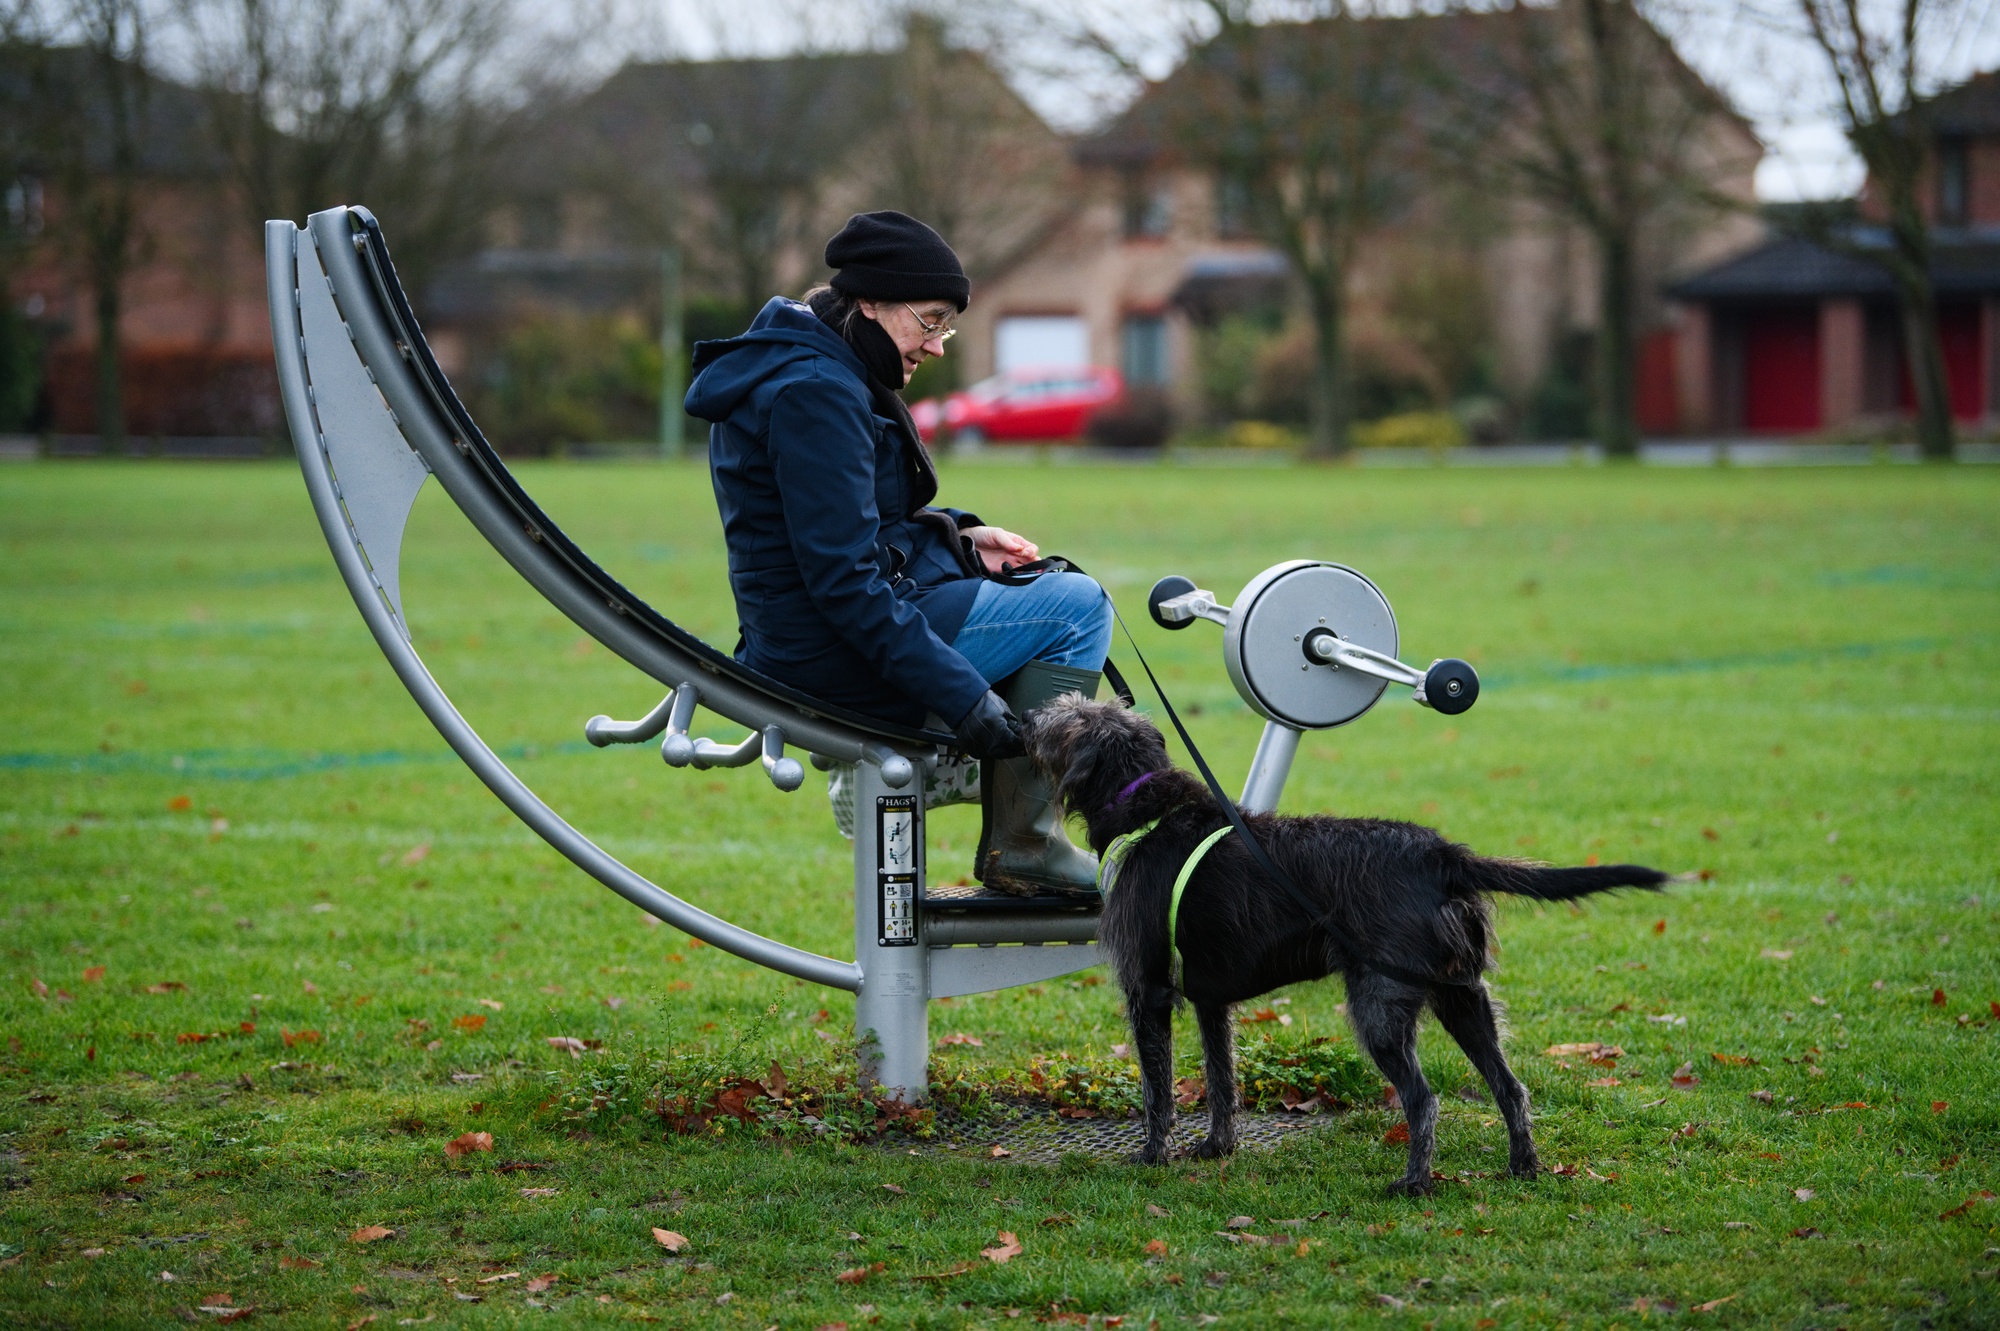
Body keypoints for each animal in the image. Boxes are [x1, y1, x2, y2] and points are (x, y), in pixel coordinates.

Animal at [1020, 694, 1670, 1194]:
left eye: (1069, 717)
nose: (1027, 717)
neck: (1144, 806)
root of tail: (1441, 856)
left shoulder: (1149, 987)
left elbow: (1158, 1086)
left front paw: (1153, 1155)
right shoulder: (1211, 999)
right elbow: (1221, 1079)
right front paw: (1217, 1147)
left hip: (1380, 1008)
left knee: (1423, 1099)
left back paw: (1414, 1183)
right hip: (1463, 997)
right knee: (1510, 1086)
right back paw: (1523, 1168)